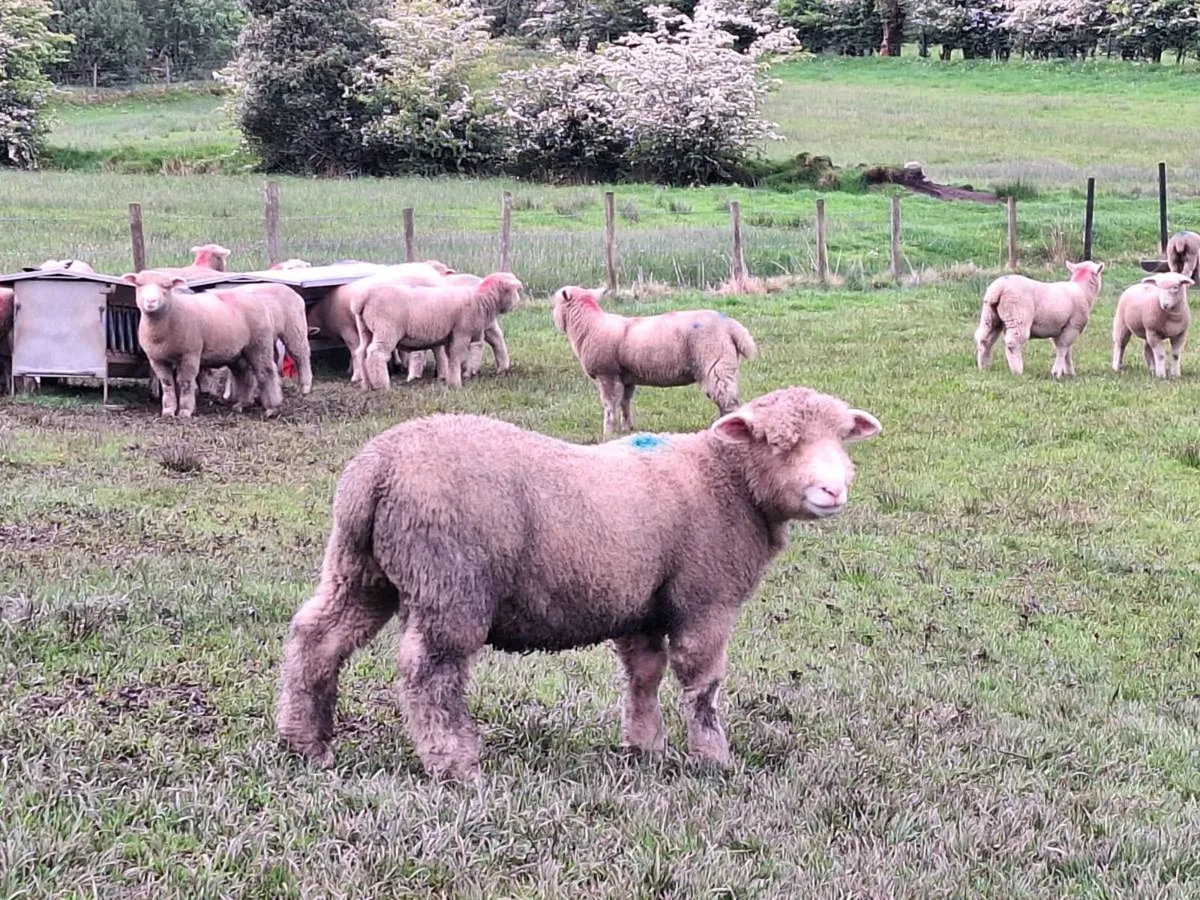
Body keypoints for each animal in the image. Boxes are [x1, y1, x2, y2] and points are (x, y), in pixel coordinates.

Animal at [124, 270, 285, 418]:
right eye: (139, 285)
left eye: (166, 287)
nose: (151, 302)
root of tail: (255, 298)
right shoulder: (157, 358)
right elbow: (167, 384)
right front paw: (168, 411)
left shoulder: (190, 354)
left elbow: (185, 382)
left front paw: (185, 411)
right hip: (237, 352)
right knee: (243, 373)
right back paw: (242, 404)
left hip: (259, 343)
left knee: (266, 371)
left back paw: (272, 408)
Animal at [276, 385, 882, 778]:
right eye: (778, 443)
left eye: (842, 440)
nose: (832, 491)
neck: (726, 481)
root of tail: (375, 470)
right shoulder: (705, 598)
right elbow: (701, 685)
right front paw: (713, 759)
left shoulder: (639, 603)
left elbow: (643, 675)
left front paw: (644, 747)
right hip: (449, 581)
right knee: (430, 672)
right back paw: (456, 764)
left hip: (360, 568)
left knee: (316, 638)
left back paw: (307, 745)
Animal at [354, 272, 522, 391]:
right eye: (515, 291)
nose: (518, 301)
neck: (479, 299)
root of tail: (364, 298)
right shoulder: (461, 332)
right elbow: (456, 355)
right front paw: (455, 383)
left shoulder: (452, 334)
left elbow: (451, 356)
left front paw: (453, 376)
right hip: (386, 329)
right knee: (376, 353)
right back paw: (382, 385)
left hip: (366, 329)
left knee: (361, 352)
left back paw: (366, 384)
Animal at [551, 286, 758, 434]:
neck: (590, 325)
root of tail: (732, 326)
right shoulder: (626, 378)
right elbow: (625, 402)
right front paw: (627, 428)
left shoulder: (607, 374)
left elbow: (609, 405)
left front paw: (607, 432)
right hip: (725, 365)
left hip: (715, 363)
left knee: (728, 400)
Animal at [974, 260, 1105, 378]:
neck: (1082, 289)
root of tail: (999, 288)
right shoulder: (1073, 325)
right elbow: (1063, 348)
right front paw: (1057, 372)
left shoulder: (1059, 328)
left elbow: (1067, 350)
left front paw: (1069, 372)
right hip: (1018, 316)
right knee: (1012, 342)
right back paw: (1017, 370)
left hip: (990, 316)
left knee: (984, 339)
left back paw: (984, 366)